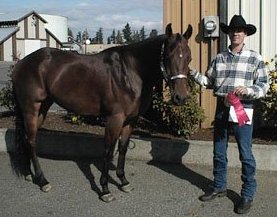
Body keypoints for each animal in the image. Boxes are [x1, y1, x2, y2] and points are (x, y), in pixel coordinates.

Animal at [11, 23, 192, 202]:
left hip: (42, 107)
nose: (180, 97)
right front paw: (105, 189)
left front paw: (123, 181)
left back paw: (29, 174)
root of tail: (22, 63)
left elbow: (123, 149)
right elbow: (108, 150)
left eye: (189, 58)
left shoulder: (130, 120)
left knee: (26, 138)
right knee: (32, 141)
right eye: (168, 56)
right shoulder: (115, 119)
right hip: (31, 108)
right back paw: (42, 180)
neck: (131, 72)